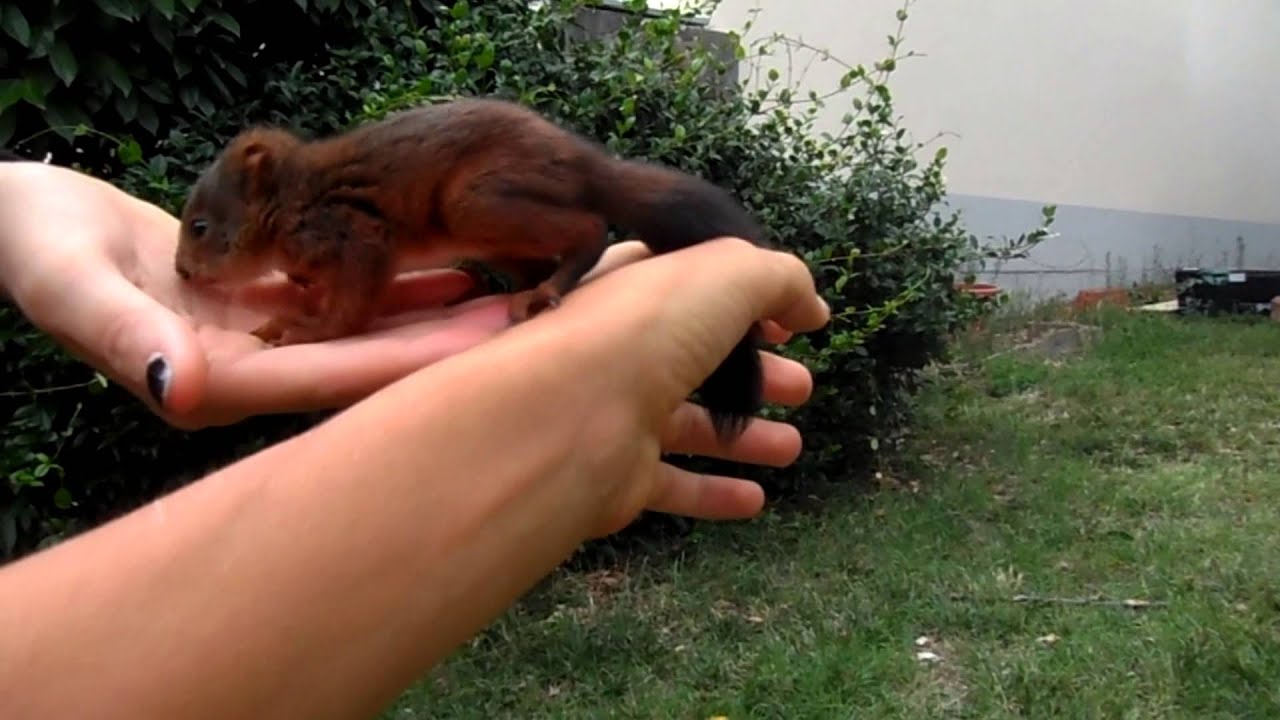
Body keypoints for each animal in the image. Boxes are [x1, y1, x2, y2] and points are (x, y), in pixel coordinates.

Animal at [174, 96, 768, 443]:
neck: (291, 202)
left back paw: (549, 286)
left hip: (476, 201)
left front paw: (305, 329)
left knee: (591, 229)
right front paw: (295, 295)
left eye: (199, 226)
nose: (180, 272)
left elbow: (351, 310)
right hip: (489, 237)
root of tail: (583, 165)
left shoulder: (355, 236)